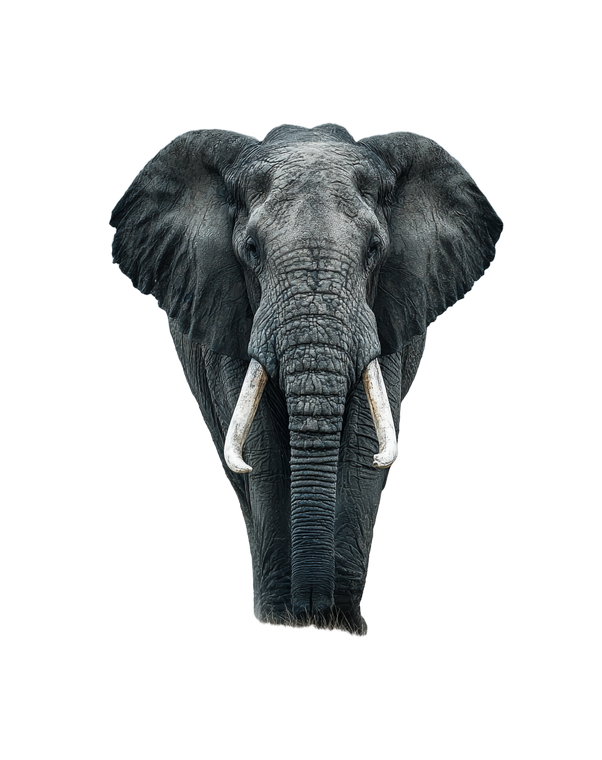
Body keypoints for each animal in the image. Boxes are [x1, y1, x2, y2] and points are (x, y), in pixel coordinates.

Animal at [108, 122, 505, 639]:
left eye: (374, 251)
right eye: (251, 250)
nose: (312, 611)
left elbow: (363, 444)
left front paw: (342, 624)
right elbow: (261, 446)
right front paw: (284, 620)